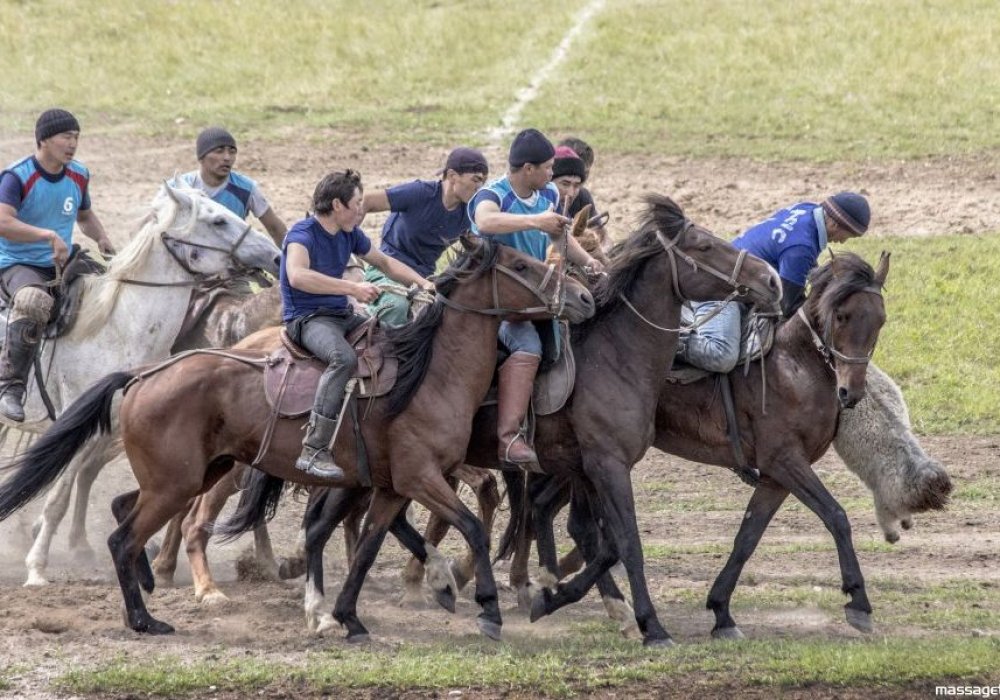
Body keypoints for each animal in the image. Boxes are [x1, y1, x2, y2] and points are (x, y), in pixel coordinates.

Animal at [0, 235, 592, 640]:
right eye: (522, 265)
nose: (584, 297)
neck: (428, 374)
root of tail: (146, 373)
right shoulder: (422, 478)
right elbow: (469, 527)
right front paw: (486, 607)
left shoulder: (391, 487)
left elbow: (368, 547)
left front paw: (348, 616)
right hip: (179, 482)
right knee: (124, 538)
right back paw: (145, 619)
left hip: (199, 472)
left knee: (126, 511)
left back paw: (151, 586)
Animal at [2, 183, 282, 588]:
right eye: (217, 220)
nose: (276, 256)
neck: (116, 328)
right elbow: (59, 497)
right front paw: (37, 567)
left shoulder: (108, 429)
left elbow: (77, 485)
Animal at [504, 250, 896, 640]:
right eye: (842, 316)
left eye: (880, 320)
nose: (850, 392)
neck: (793, 364)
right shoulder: (786, 461)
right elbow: (837, 516)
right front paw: (859, 601)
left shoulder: (775, 478)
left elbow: (747, 538)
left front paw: (721, 611)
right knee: (568, 521)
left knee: (548, 509)